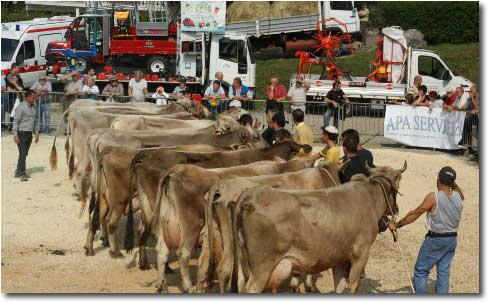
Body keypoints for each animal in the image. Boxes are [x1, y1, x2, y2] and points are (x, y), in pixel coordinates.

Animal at [231, 163, 406, 292]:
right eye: (398, 185)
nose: (396, 209)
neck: (369, 196)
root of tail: (252, 194)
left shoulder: (338, 256)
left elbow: (339, 286)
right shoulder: (361, 254)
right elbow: (352, 286)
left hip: (243, 264)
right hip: (262, 268)